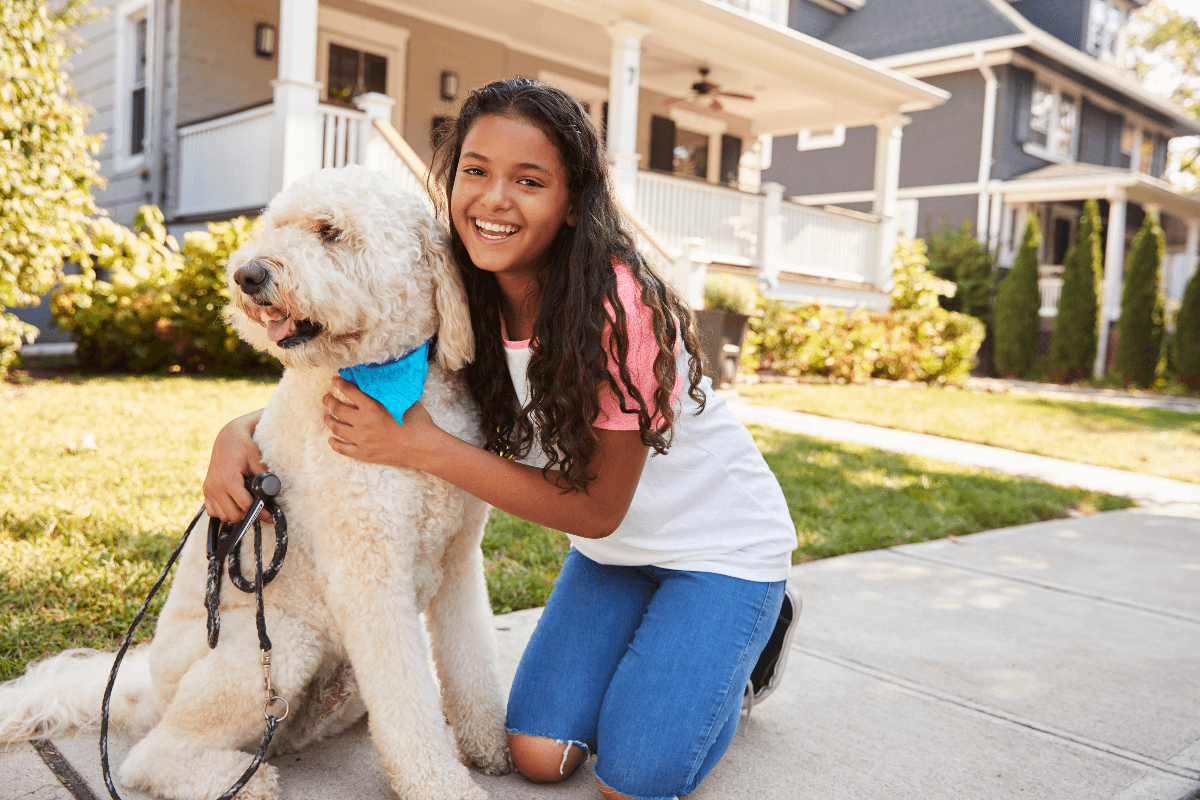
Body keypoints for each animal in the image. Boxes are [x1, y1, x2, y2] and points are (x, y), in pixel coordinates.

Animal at [0, 165, 511, 796]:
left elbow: (472, 659)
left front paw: (488, 747)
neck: (392, 384)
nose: (248, 274)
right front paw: (440, 781)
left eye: (329, 231)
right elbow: (407, 699)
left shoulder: (458, 560)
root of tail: (148, 691)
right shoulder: (370, 577)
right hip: (282, 639)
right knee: (149, 755)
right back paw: (238, 779)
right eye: (274, 226)